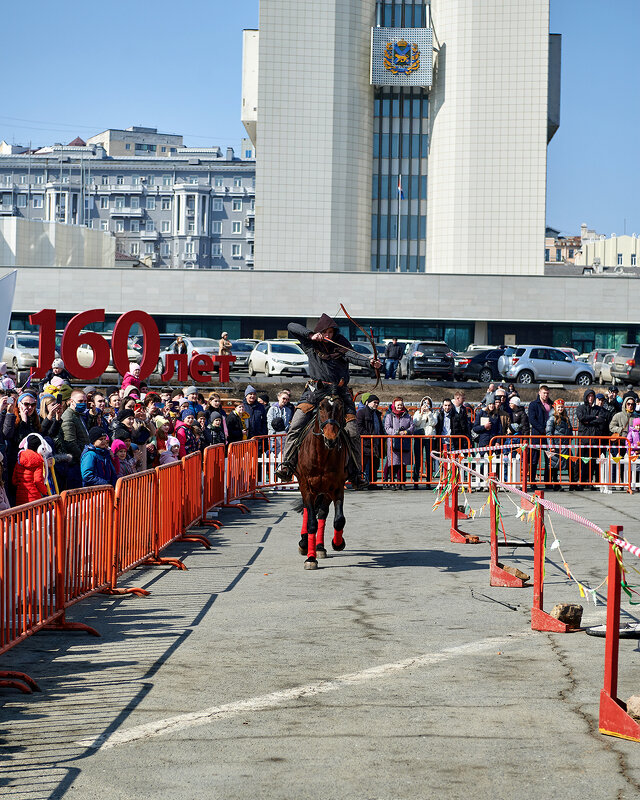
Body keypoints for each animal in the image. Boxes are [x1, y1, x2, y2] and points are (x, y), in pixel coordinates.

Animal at [296, 390, 350, 568]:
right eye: (320, 407)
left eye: (341, 407)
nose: (331, 439)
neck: (321, 456)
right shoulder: (306, 486)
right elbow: (311, 522)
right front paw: (310, 558)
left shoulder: (337, 487)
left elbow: (339, 519)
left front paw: (338, 543)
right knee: (309, 511)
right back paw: (304, 543)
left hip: (324, 491)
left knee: (322, 513)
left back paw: (319, 547)